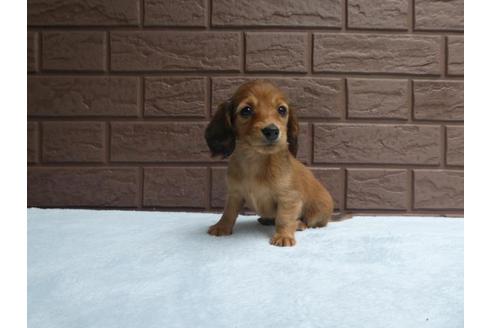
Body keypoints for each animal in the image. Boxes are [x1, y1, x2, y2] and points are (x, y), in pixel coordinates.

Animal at [204, 80, 334, 247]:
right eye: (246, 110)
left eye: (282, 110)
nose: (272, 131)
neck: (256, 160)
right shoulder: (234, 194)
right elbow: (228, 212)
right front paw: (222, 227)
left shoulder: (288, 198)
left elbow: (284, 218)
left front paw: (283, 236)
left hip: (317, 211)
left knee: (309, 221)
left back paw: (299, 224)